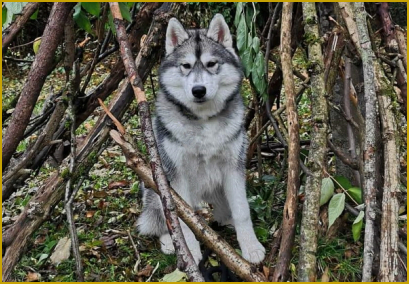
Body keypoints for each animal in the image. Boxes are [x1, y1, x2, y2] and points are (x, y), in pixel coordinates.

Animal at [136, 14, 264, 264]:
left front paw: (250, 246)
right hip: (154, 186)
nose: (198, 90)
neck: (204, 121)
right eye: (185, 66)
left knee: (223, 212)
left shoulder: (233, 168)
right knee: (161, 221)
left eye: (211, 64)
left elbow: (242, 210)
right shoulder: (175, 177)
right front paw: (190, 252)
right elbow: (181, 220)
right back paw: (169, 241)